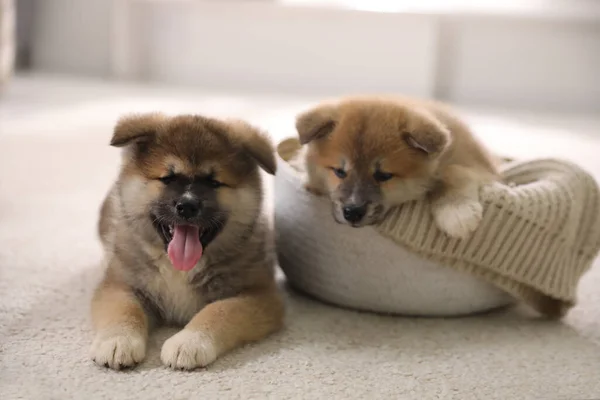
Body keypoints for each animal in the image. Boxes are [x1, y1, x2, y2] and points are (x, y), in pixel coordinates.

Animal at [90, 111, 284, 368]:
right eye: (168, 179)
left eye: (213, 182)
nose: (188, 205)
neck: (179, 269)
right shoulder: (119, 285)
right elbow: (125, 310)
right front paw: (118, 340)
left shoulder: (259, 295)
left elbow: (220, 311)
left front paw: (190, 341)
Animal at [298, 95, 500, 239]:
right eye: (339, 172)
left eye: (383, 175)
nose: (352, 212)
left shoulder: (478, 167)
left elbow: (452, 172)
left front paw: (456, 211)